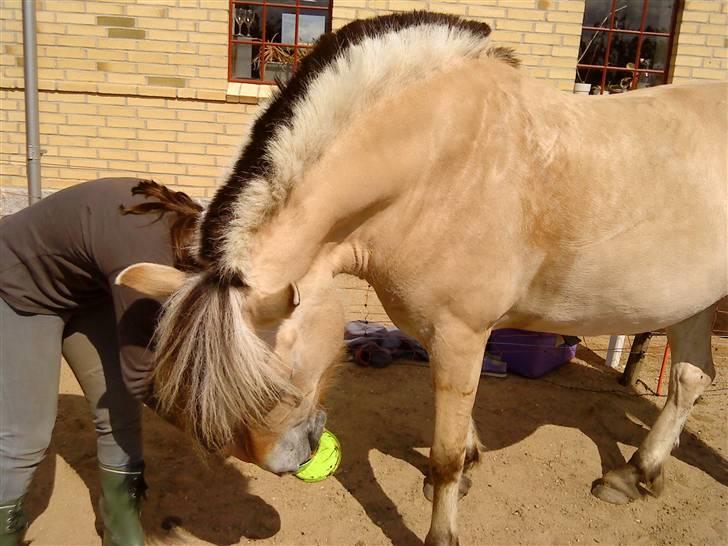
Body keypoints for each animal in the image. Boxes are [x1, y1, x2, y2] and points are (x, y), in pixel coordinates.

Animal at [119, 12, 728, 544]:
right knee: (690, 378)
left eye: (278, 386)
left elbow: (446, 455)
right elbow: (460, 431)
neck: (438, 166)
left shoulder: (463, 332)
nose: (285, 464)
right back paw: (634, 475)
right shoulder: (444, 335)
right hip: (692, 299)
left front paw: (442, 528)